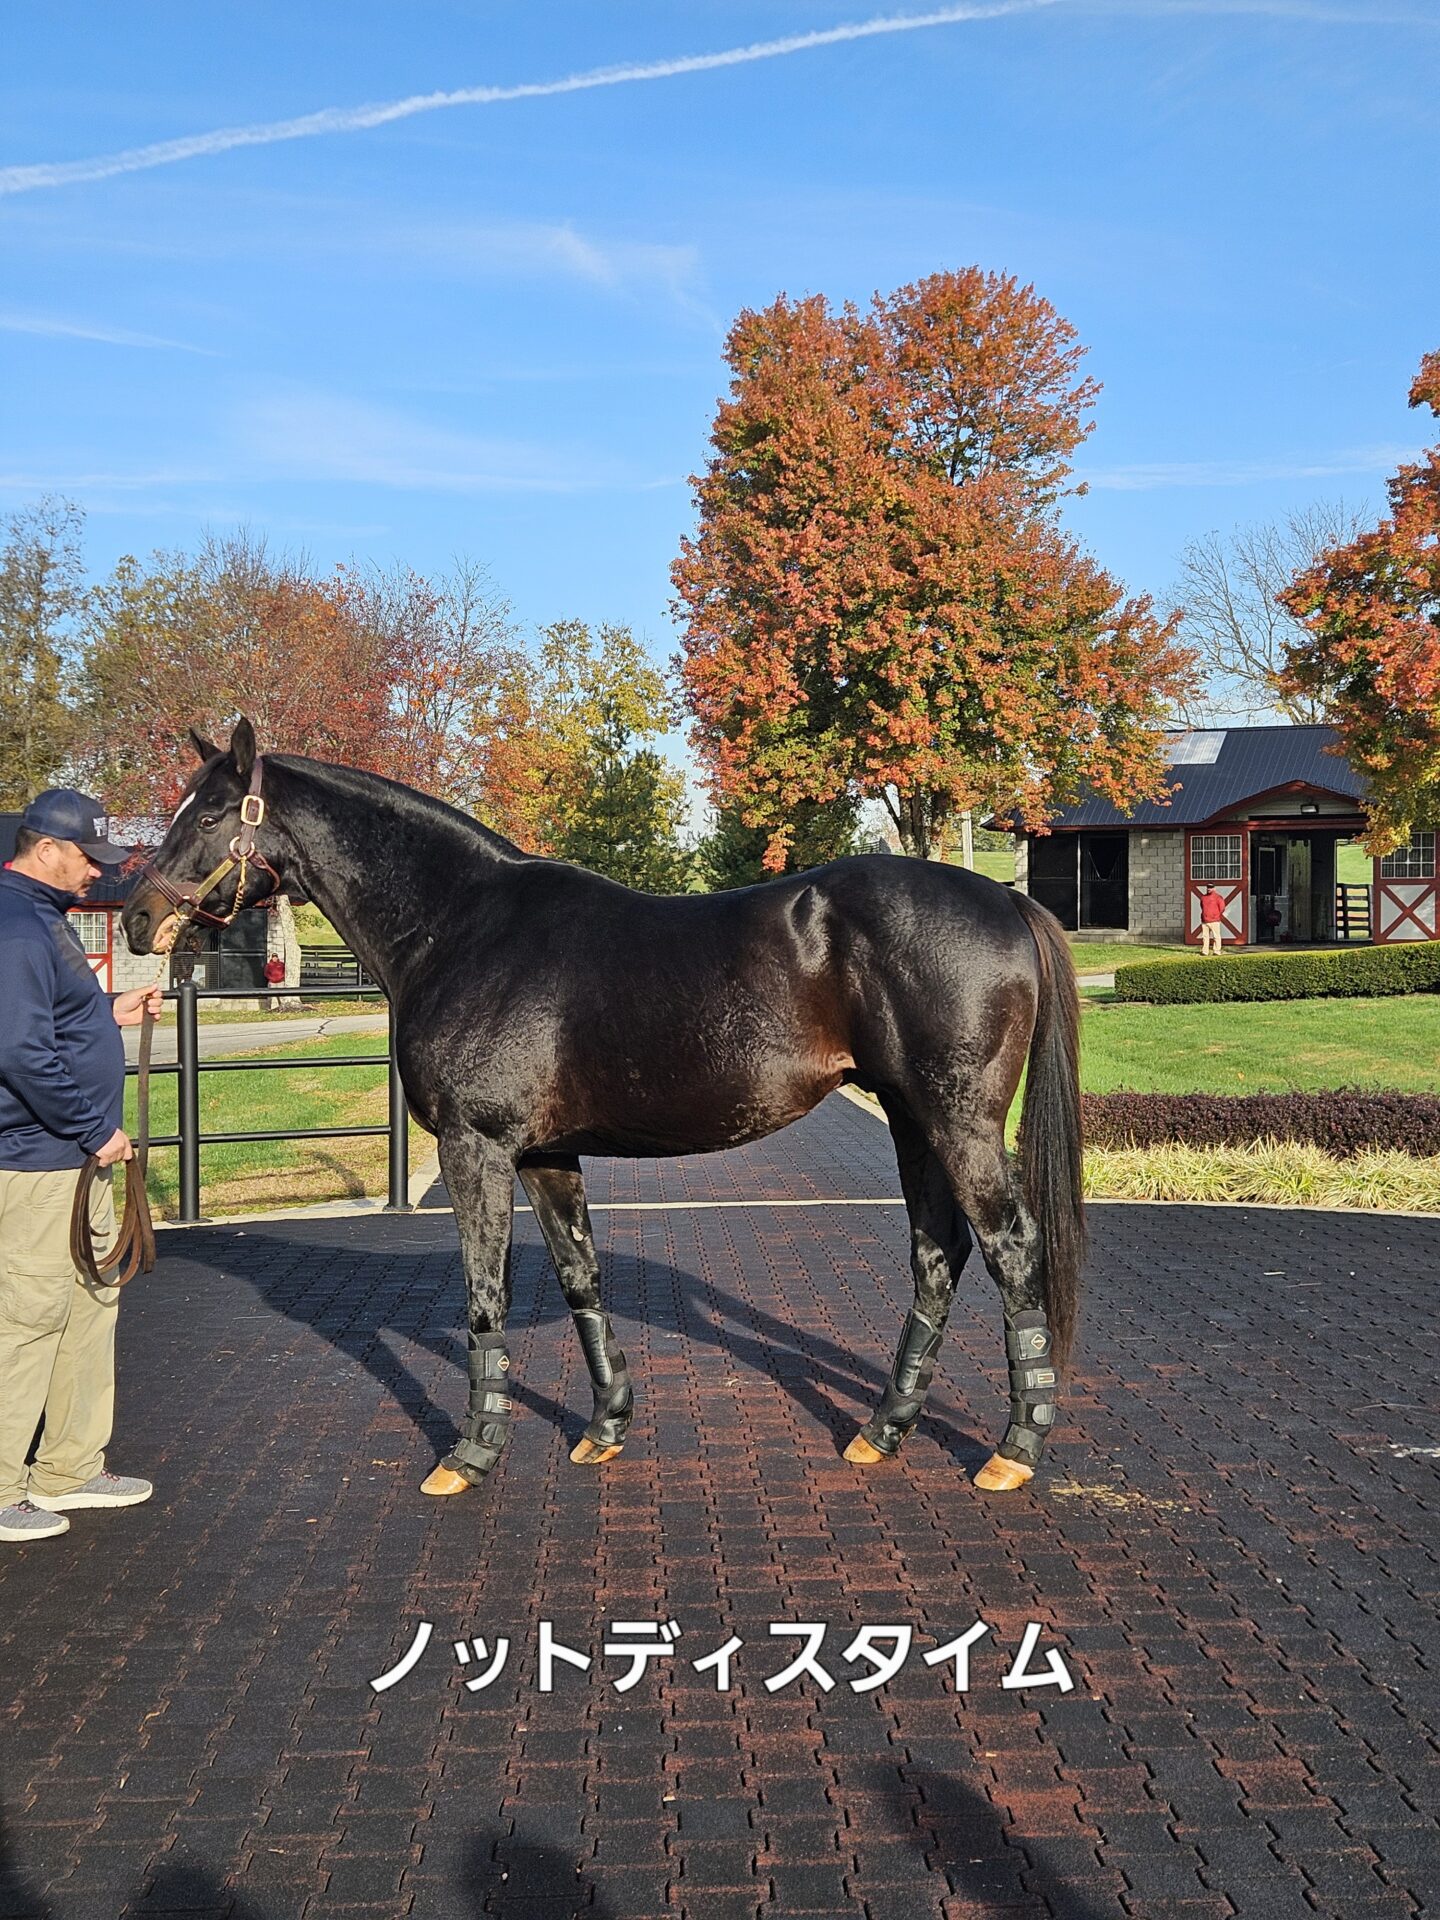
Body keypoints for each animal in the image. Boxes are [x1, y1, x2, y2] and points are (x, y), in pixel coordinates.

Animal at [121, 720, 1084, 1499]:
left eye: (210, 813)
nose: (135, 920)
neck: (462, 925)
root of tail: (1006, 897)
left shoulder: (477, 1148)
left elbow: (485, 1293)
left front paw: (472, 1454)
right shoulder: (545, 1154)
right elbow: (579, 1274)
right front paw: (606, 1425)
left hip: (958, 1123)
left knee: (1009, 1248)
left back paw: (1014, 1450)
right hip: (915, 1120)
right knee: (938, 1254)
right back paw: (883, 1432)